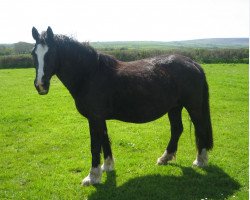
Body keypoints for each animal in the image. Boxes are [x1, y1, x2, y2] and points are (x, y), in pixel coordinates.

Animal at [31, 26, 213, 186]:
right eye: (33, 53)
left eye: (51, 53)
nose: (40, 85)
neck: (90, 74)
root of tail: (193, 63)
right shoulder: (99, 118)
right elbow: (105, 140)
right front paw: (107, 166)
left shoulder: (94, 118)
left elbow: (95, 145)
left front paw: (92, 177)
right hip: (174, 107)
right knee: (177, 129)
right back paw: (165, 158)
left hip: (193, 107)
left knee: (200, 129)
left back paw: (200, 161)